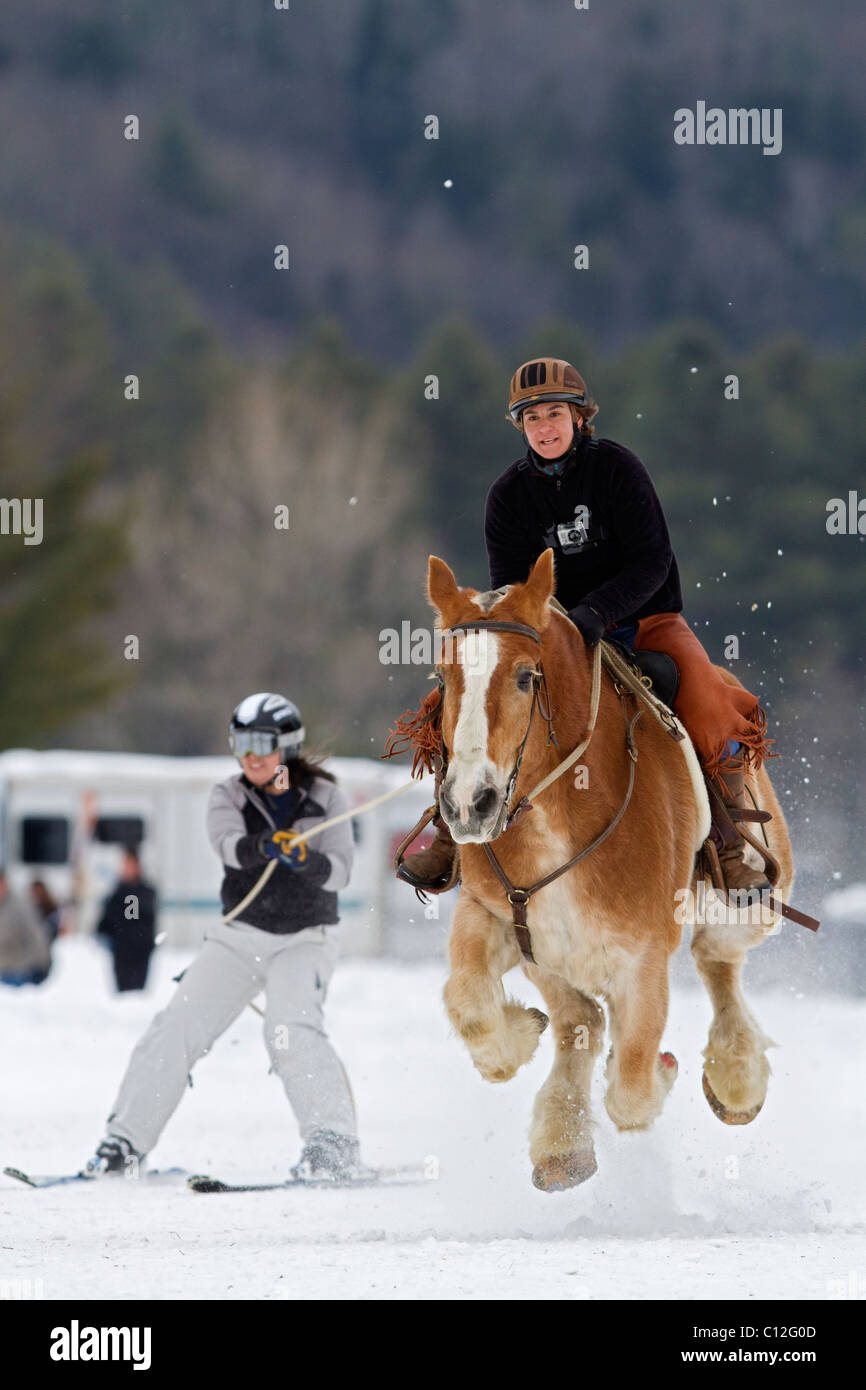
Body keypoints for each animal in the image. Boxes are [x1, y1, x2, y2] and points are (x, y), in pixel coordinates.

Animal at [427, 548, 794, 1190]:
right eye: (445, 679)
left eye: (525, 676)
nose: (469, 805)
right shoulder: (502, 921)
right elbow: (471, 1005)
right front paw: (519, 1042)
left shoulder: (642, 960)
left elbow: (632, 1091)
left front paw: (664, 1071)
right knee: (586, 1021)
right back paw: (563, 1143)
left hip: (753, 904)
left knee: (716, 958)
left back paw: (736, 1076)